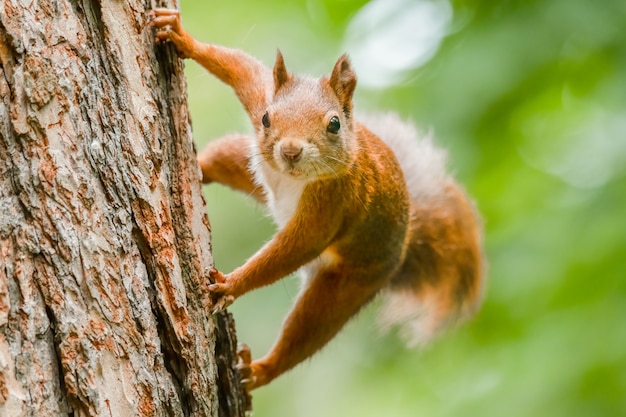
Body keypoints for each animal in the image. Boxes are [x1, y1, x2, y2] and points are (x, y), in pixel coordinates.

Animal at [150, 8, 482, 392]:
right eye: (266, 117)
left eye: (334, 124)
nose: (290, 150)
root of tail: (402, 246)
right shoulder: (261, 94)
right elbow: (242, 67)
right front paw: (181, 36)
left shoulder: (335, 199)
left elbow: (299, 245)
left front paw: (232, 284)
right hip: (247, 162)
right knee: (223, 158)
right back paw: (199, 168)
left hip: (349, 284)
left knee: (309, 329)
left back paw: (259, 371)